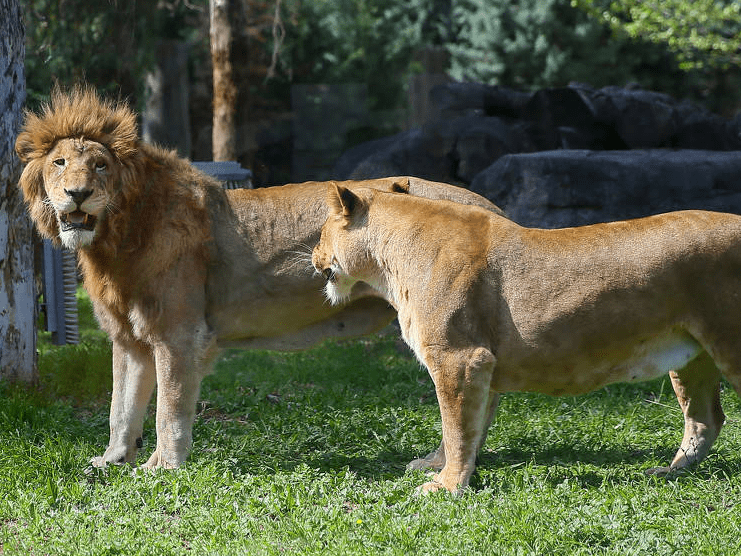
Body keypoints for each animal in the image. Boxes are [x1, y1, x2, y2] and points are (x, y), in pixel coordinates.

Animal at [14, 87, 502, 470]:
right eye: (60, 162)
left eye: (99, 165)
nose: (77, 194)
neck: (115, 237)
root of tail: (491, 206)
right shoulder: (129, 338)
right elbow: (122, 407)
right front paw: (113, 460)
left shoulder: (179, 334)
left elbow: (168, 410)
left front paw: (163, 467)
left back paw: (441, 463)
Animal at [314, 185, 741, 494]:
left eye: (321, 233)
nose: (313, 256)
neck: (389, 263)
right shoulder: (481, 365)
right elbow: (468, 427)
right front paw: (443, 470)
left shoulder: (459, 358)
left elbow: (456, 428)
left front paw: (446, 486)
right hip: (692, 358)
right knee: (706, 419)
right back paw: (668, 472)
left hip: (728, 345)